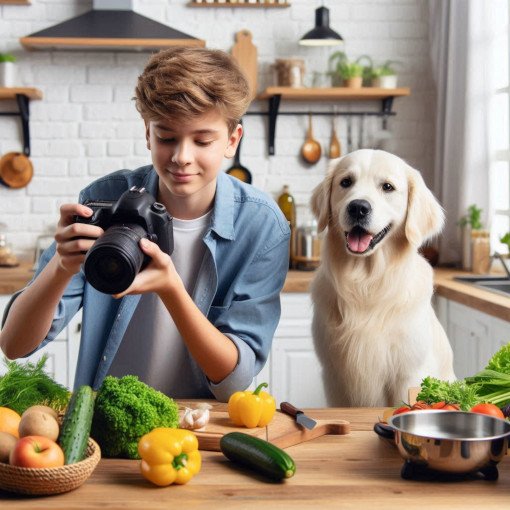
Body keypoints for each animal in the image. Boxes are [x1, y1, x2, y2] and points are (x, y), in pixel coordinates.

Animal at [308, 148, 456, 406]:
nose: (358, 207)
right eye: (346, 182)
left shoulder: (408, 375)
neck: (367, 284)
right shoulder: (334, 377)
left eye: (387, 187)